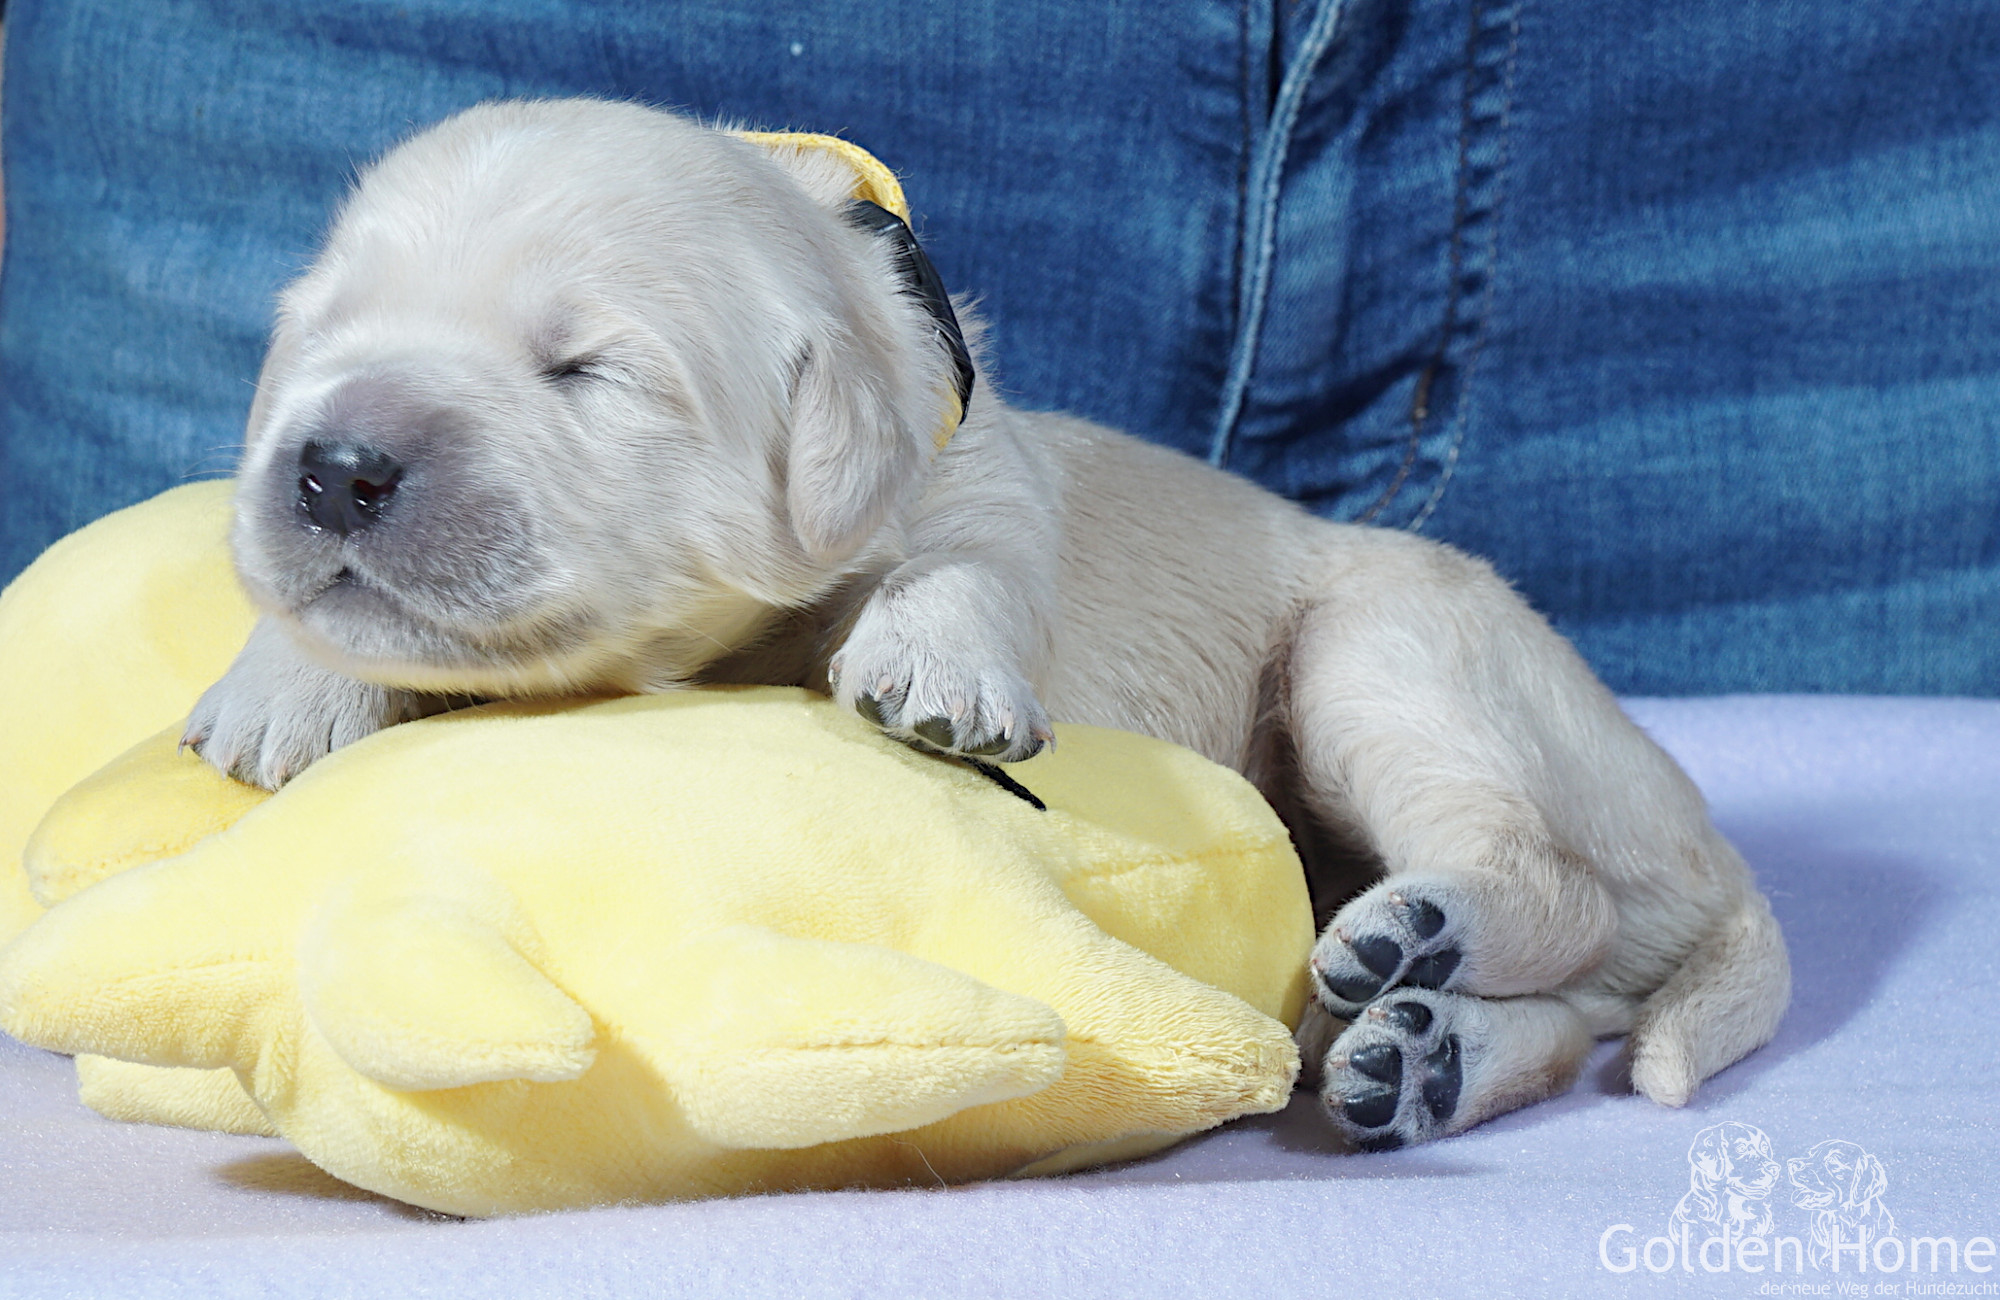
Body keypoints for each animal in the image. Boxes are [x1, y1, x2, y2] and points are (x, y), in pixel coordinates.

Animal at [184, 98, 1791, 1149]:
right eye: (316, 338)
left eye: (582, 368)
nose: (333, 466)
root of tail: (1706, 843)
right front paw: (284, 686)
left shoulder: (979, 471)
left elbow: (967, 564)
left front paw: (933, 672)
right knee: (1574, 1012)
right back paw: (1419, 1055)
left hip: (1390, 645)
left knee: (1553, 887)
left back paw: (1419, 936)